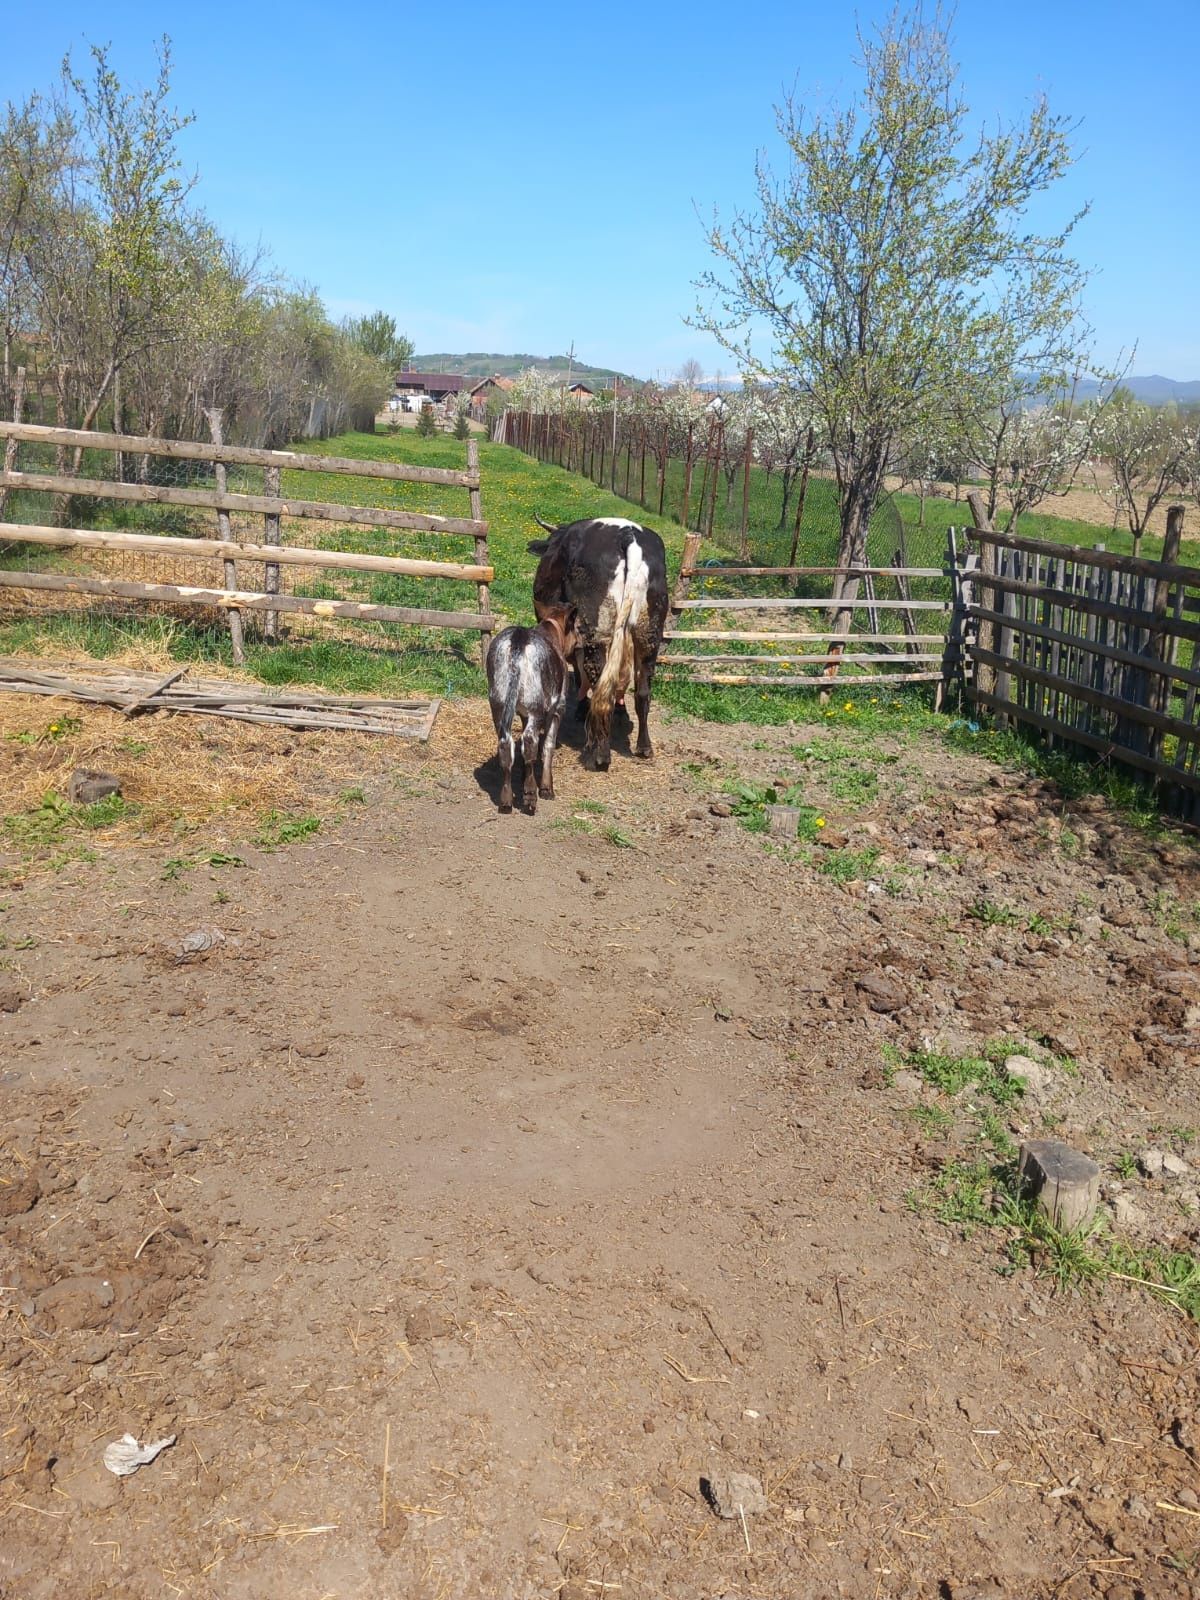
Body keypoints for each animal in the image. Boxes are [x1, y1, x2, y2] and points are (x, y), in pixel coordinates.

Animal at [486, 608, 576, 819]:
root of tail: (519, 639)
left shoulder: (523, 712)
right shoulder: (558, 708)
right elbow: (548, 746)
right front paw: (546, 788)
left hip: (498, 703)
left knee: (506, 743)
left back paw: (506, 800)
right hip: (536, 705)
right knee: (529, 742)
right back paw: (529, 796)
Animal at [531, 508, 672, 764]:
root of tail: (628, 534)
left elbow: (579, 672)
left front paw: (580, 708)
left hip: (595, 629)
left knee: (598, 680)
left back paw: (601, 753)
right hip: (650, 631)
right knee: (642, 689)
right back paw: (644, 746)